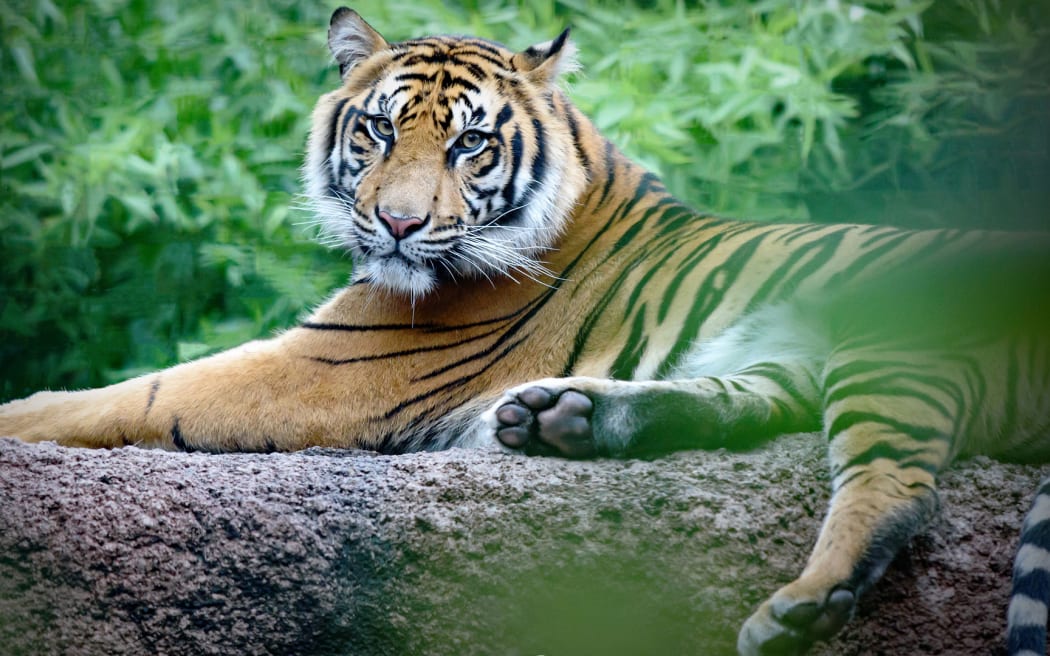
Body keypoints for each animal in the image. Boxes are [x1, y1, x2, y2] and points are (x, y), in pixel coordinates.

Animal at [1, 7, 1049, 655]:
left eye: (470, 143)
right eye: (378, 132)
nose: (398, 225)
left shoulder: (327, 362)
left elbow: (135, 394)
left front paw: (20, 417)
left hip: (892, 350)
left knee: (898, 487)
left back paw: (798, 606)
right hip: (792, 363)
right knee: (740, 406)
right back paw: (560, 418)